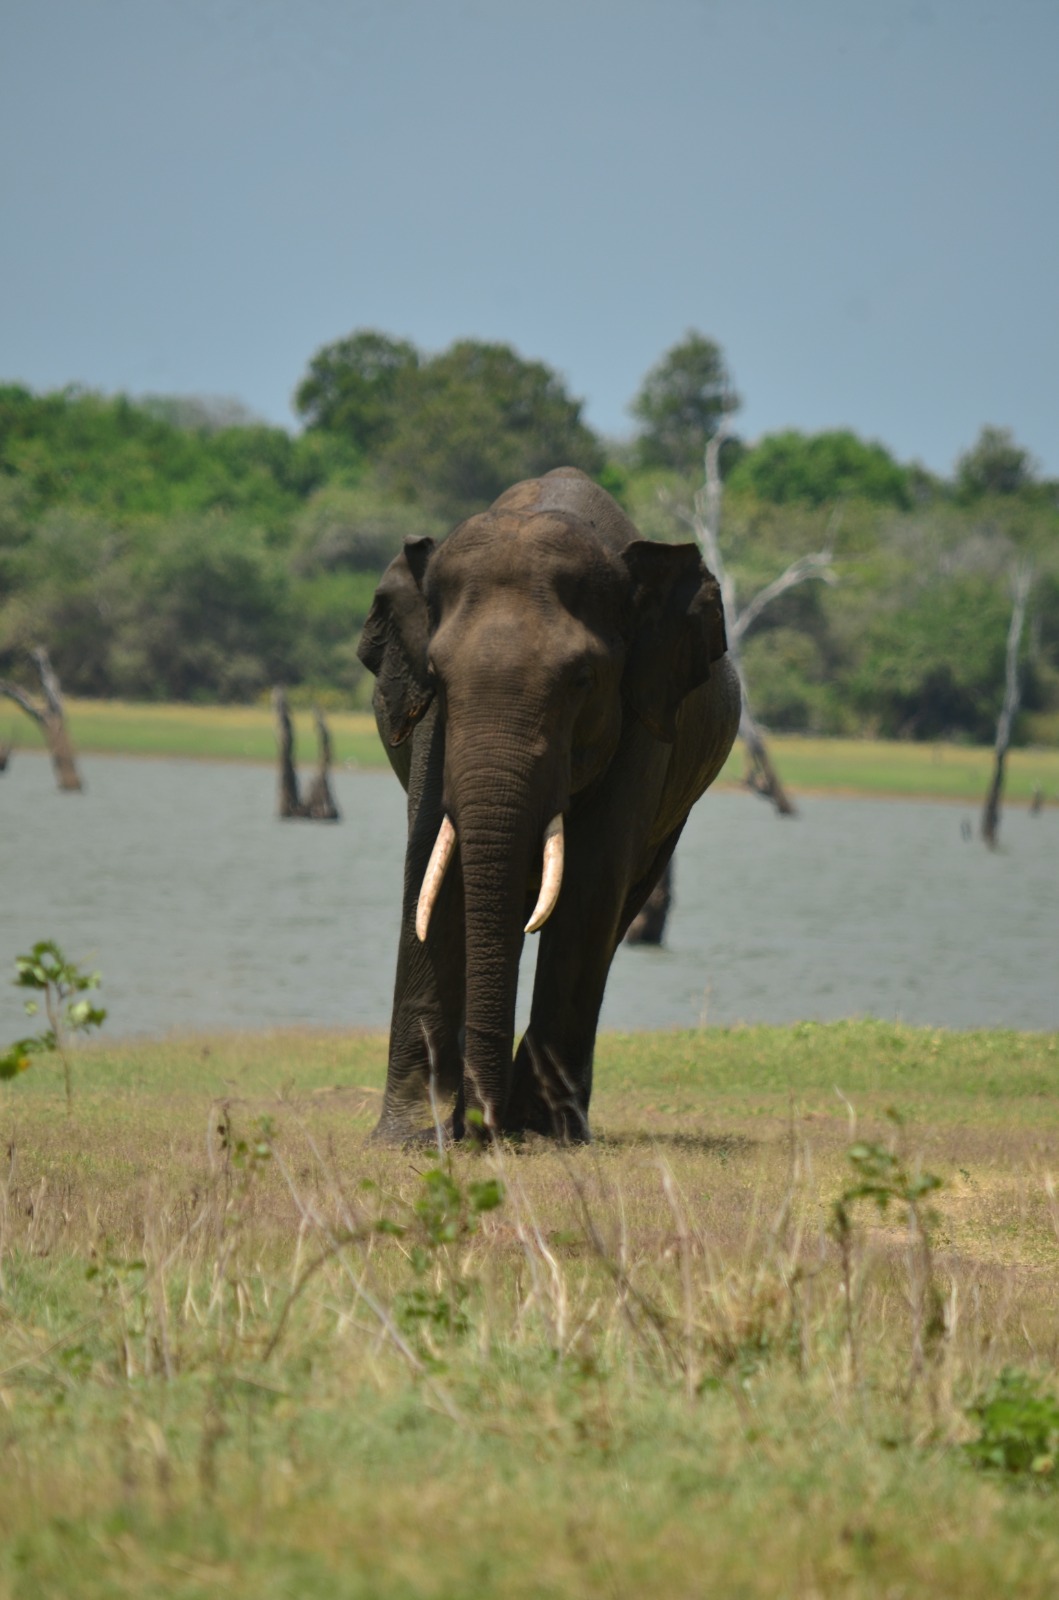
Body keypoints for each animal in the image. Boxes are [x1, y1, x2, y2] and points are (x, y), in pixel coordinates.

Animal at [357, 467, 740, 1143]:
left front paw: (538, 1134)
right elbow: (429, 868)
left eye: (582, 681)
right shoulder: (431, 728)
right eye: (437, 675)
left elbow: (590, 884)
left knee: (618, 910)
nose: (482, 1128)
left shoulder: (641, 718)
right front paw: (410, 1138)